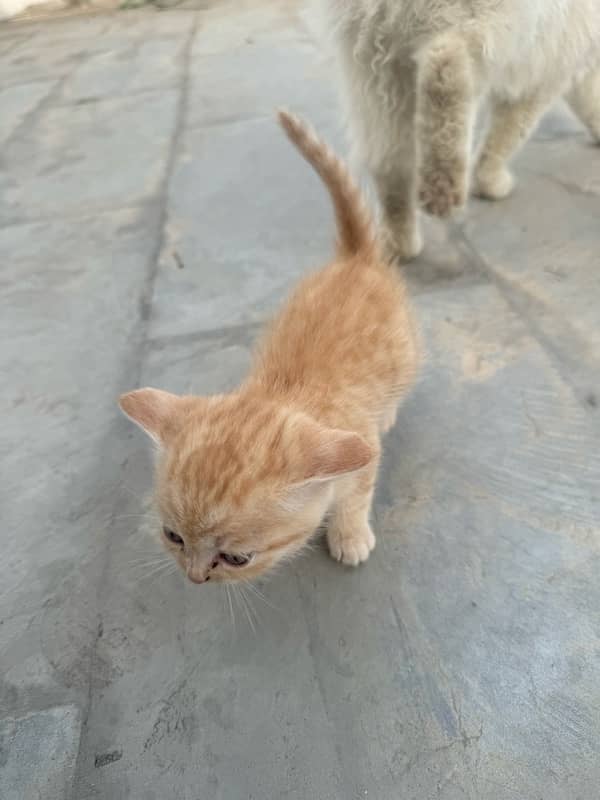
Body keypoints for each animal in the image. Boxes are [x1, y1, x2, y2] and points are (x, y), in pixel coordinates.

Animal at [117, 112, 418, 584]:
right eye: (172, 536)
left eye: (237, 558)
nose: (195, 577)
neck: (282, 392)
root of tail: (355, 259)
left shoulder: (361, 452)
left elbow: (356, 492)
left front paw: (349, 535)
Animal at [316, 0, 596, 260]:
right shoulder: (556, 49)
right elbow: (514, 122)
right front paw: (490, 180)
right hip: (478, 14)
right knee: (450, 54)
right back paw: (442, 185)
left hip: (371, 49)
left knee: (387, 144)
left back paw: (399, 237)